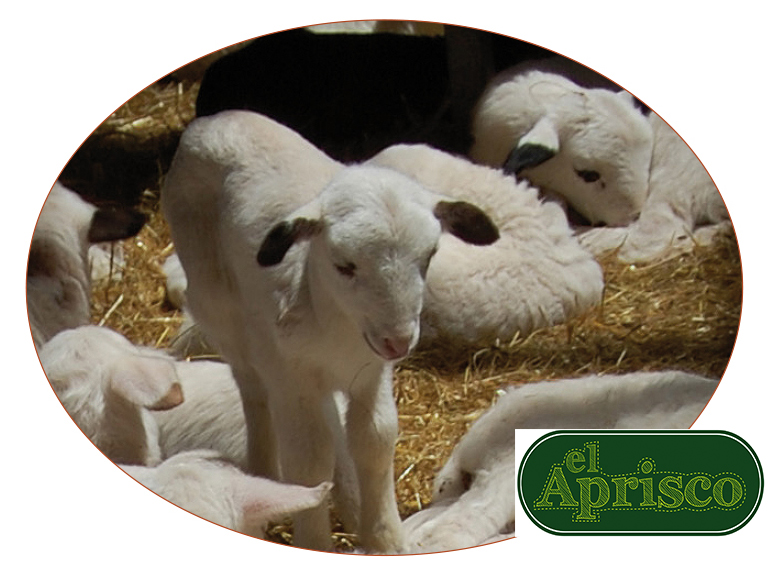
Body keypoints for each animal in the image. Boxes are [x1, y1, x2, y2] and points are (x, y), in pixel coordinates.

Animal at [161, 109, 499, 552]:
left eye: (430, 256)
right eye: (344, 265)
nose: (398, 341)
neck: (335, 324)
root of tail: (216, 120)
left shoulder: (371, 373)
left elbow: (375, 440)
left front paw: (386, 539)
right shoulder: (293, 376)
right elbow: (308, 459)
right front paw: (315, 543)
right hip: (220, 308)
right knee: (254, 391)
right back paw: (262, 472)